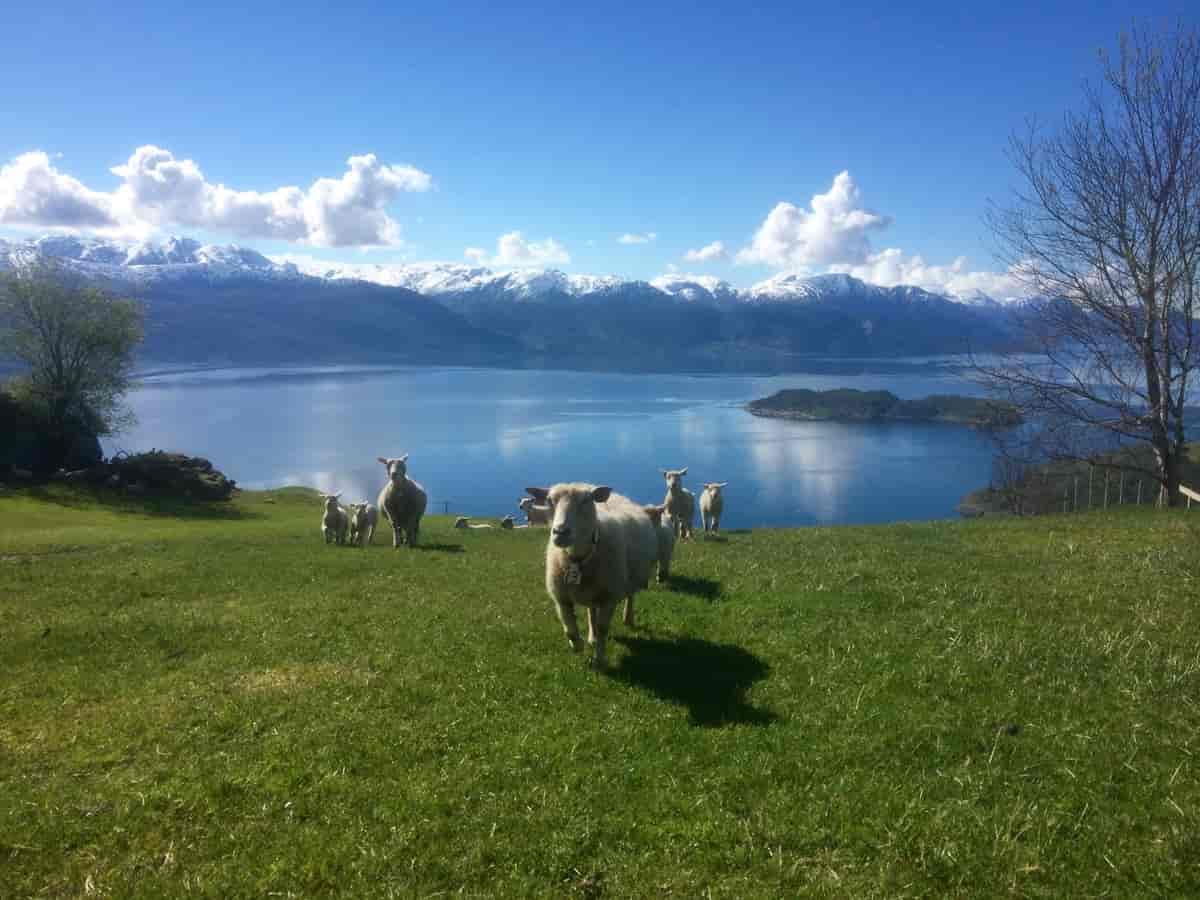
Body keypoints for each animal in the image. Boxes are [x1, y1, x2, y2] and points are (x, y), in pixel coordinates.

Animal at [525, 487, 657, 672]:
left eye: (586, 501)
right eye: (549, 501)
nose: (561, 532)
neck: (578, 559)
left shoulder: (609, 597)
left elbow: (603, 629)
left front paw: (599, 659)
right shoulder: (561, 598)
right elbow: (570, 631)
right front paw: (578, 645)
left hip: (631, 577)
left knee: (630, 597)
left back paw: (627, 618)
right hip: (592, 592)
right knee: (591, 610)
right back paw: (591, 636)